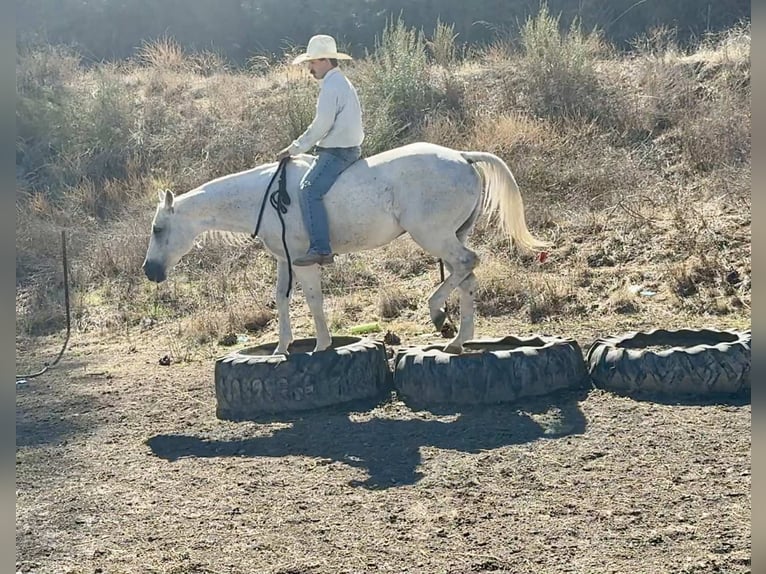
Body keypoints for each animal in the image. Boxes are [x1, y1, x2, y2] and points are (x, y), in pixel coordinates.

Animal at [142, 141, 550, 355]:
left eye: (158, 229)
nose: (150, 271)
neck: (266, 197)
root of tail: (463, 157)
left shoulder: (303, 262)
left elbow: (313, 300)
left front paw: (321, 346)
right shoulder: (283, 260)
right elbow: (281, 299)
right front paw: (281, 348)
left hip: (434, 235)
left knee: (467, 264)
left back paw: (438, 315)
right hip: (453, 235)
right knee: (466, 275)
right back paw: (457, 339)